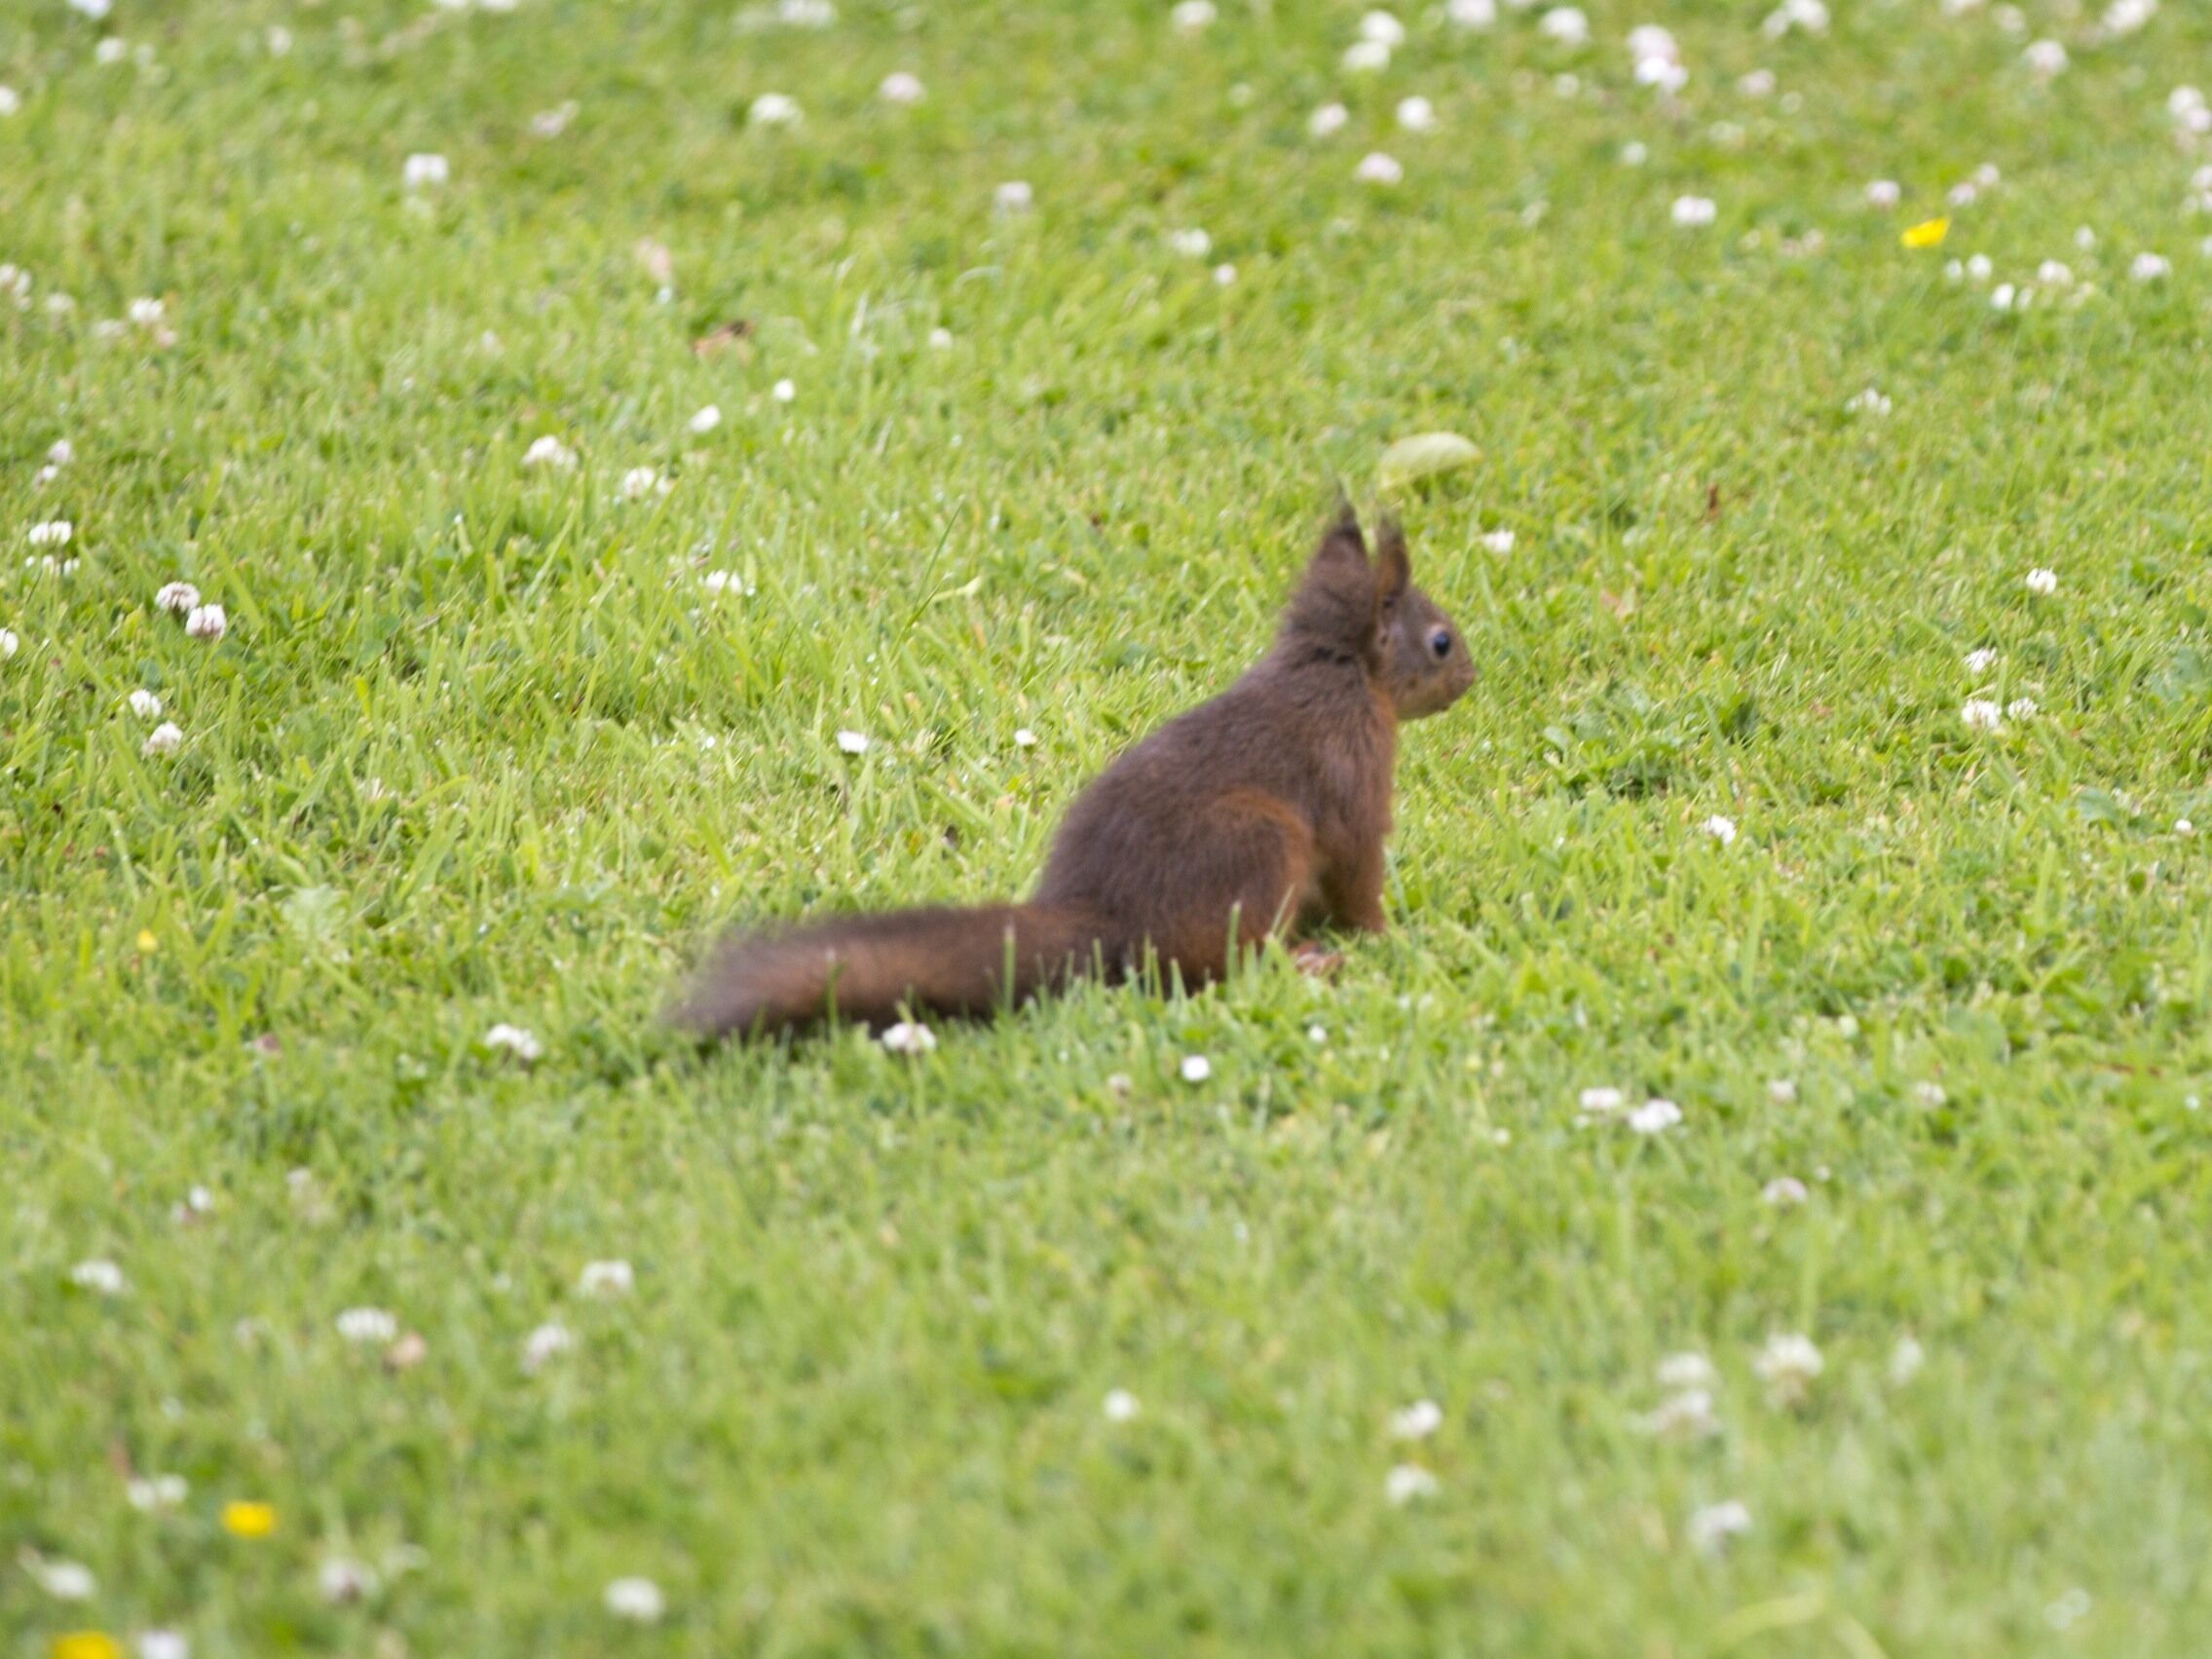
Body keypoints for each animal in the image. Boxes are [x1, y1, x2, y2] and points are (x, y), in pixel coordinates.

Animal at [671, 502, 1474, 1039]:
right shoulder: (1353, 781)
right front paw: (1387, 937)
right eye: (1440, 641)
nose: (1470, 675)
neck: (1338, 671)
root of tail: (1108, 917)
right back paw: (1308, 962)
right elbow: (1359, 875)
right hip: (1259, 847)